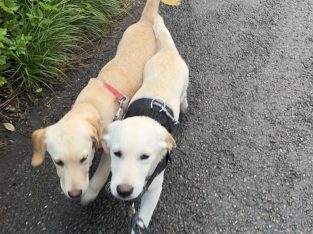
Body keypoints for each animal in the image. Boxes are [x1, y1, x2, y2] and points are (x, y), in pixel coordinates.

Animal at [30, 0, 160, 204]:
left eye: (83, 159)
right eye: (58, 162)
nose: (74, 194)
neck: (90, 105)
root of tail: (145, 22)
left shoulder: (109, 152)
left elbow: (100, 176)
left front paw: (88, 194)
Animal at [103, 14, 189, 230]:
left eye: (145, 157)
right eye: (116, 153)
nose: (124, 190)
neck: (147, 116)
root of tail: (168, 50)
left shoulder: (154, 187)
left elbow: (143, 218)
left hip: (185, 82)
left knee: (184, 96)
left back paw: (184, 106)